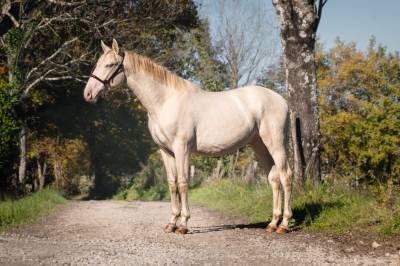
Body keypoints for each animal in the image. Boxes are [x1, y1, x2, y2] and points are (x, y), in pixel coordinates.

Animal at [83, 38, 292, 234]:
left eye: (110, 65)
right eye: (98, 63)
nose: (88, 94)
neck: (166, 101)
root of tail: (281, 100)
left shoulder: (181, 149)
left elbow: (183, 183)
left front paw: (183, 224)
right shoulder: (165, 151)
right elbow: (171, 184)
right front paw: (171, 223)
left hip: (276, 143)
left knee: (285, 175)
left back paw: (284, 224)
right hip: (259, 145)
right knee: (274, 179)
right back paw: (273, 223)